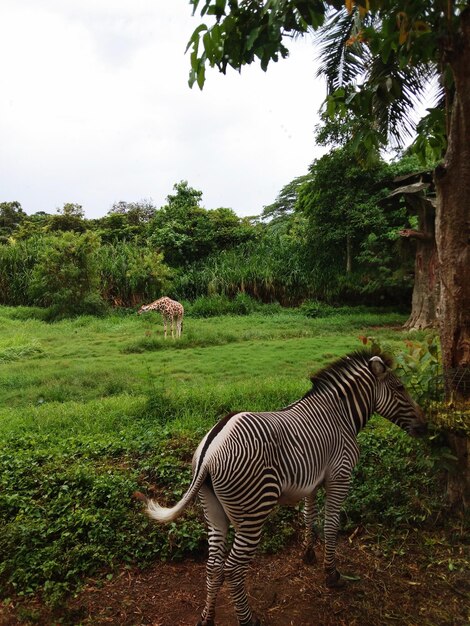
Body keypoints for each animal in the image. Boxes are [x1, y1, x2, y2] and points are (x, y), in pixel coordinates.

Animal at [136, 348, 426, 620]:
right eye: (400, 388)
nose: (426, 428)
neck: (341, 415)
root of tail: (209, 451)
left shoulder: (313, 478)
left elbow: (309, 516)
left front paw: (308, 553)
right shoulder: (340, 475)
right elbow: (331, 525)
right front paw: (332, 574)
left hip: (213, 510)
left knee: (214, 566)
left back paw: (207, 618)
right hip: (252, 513)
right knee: (233, 569)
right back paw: (248, 620)